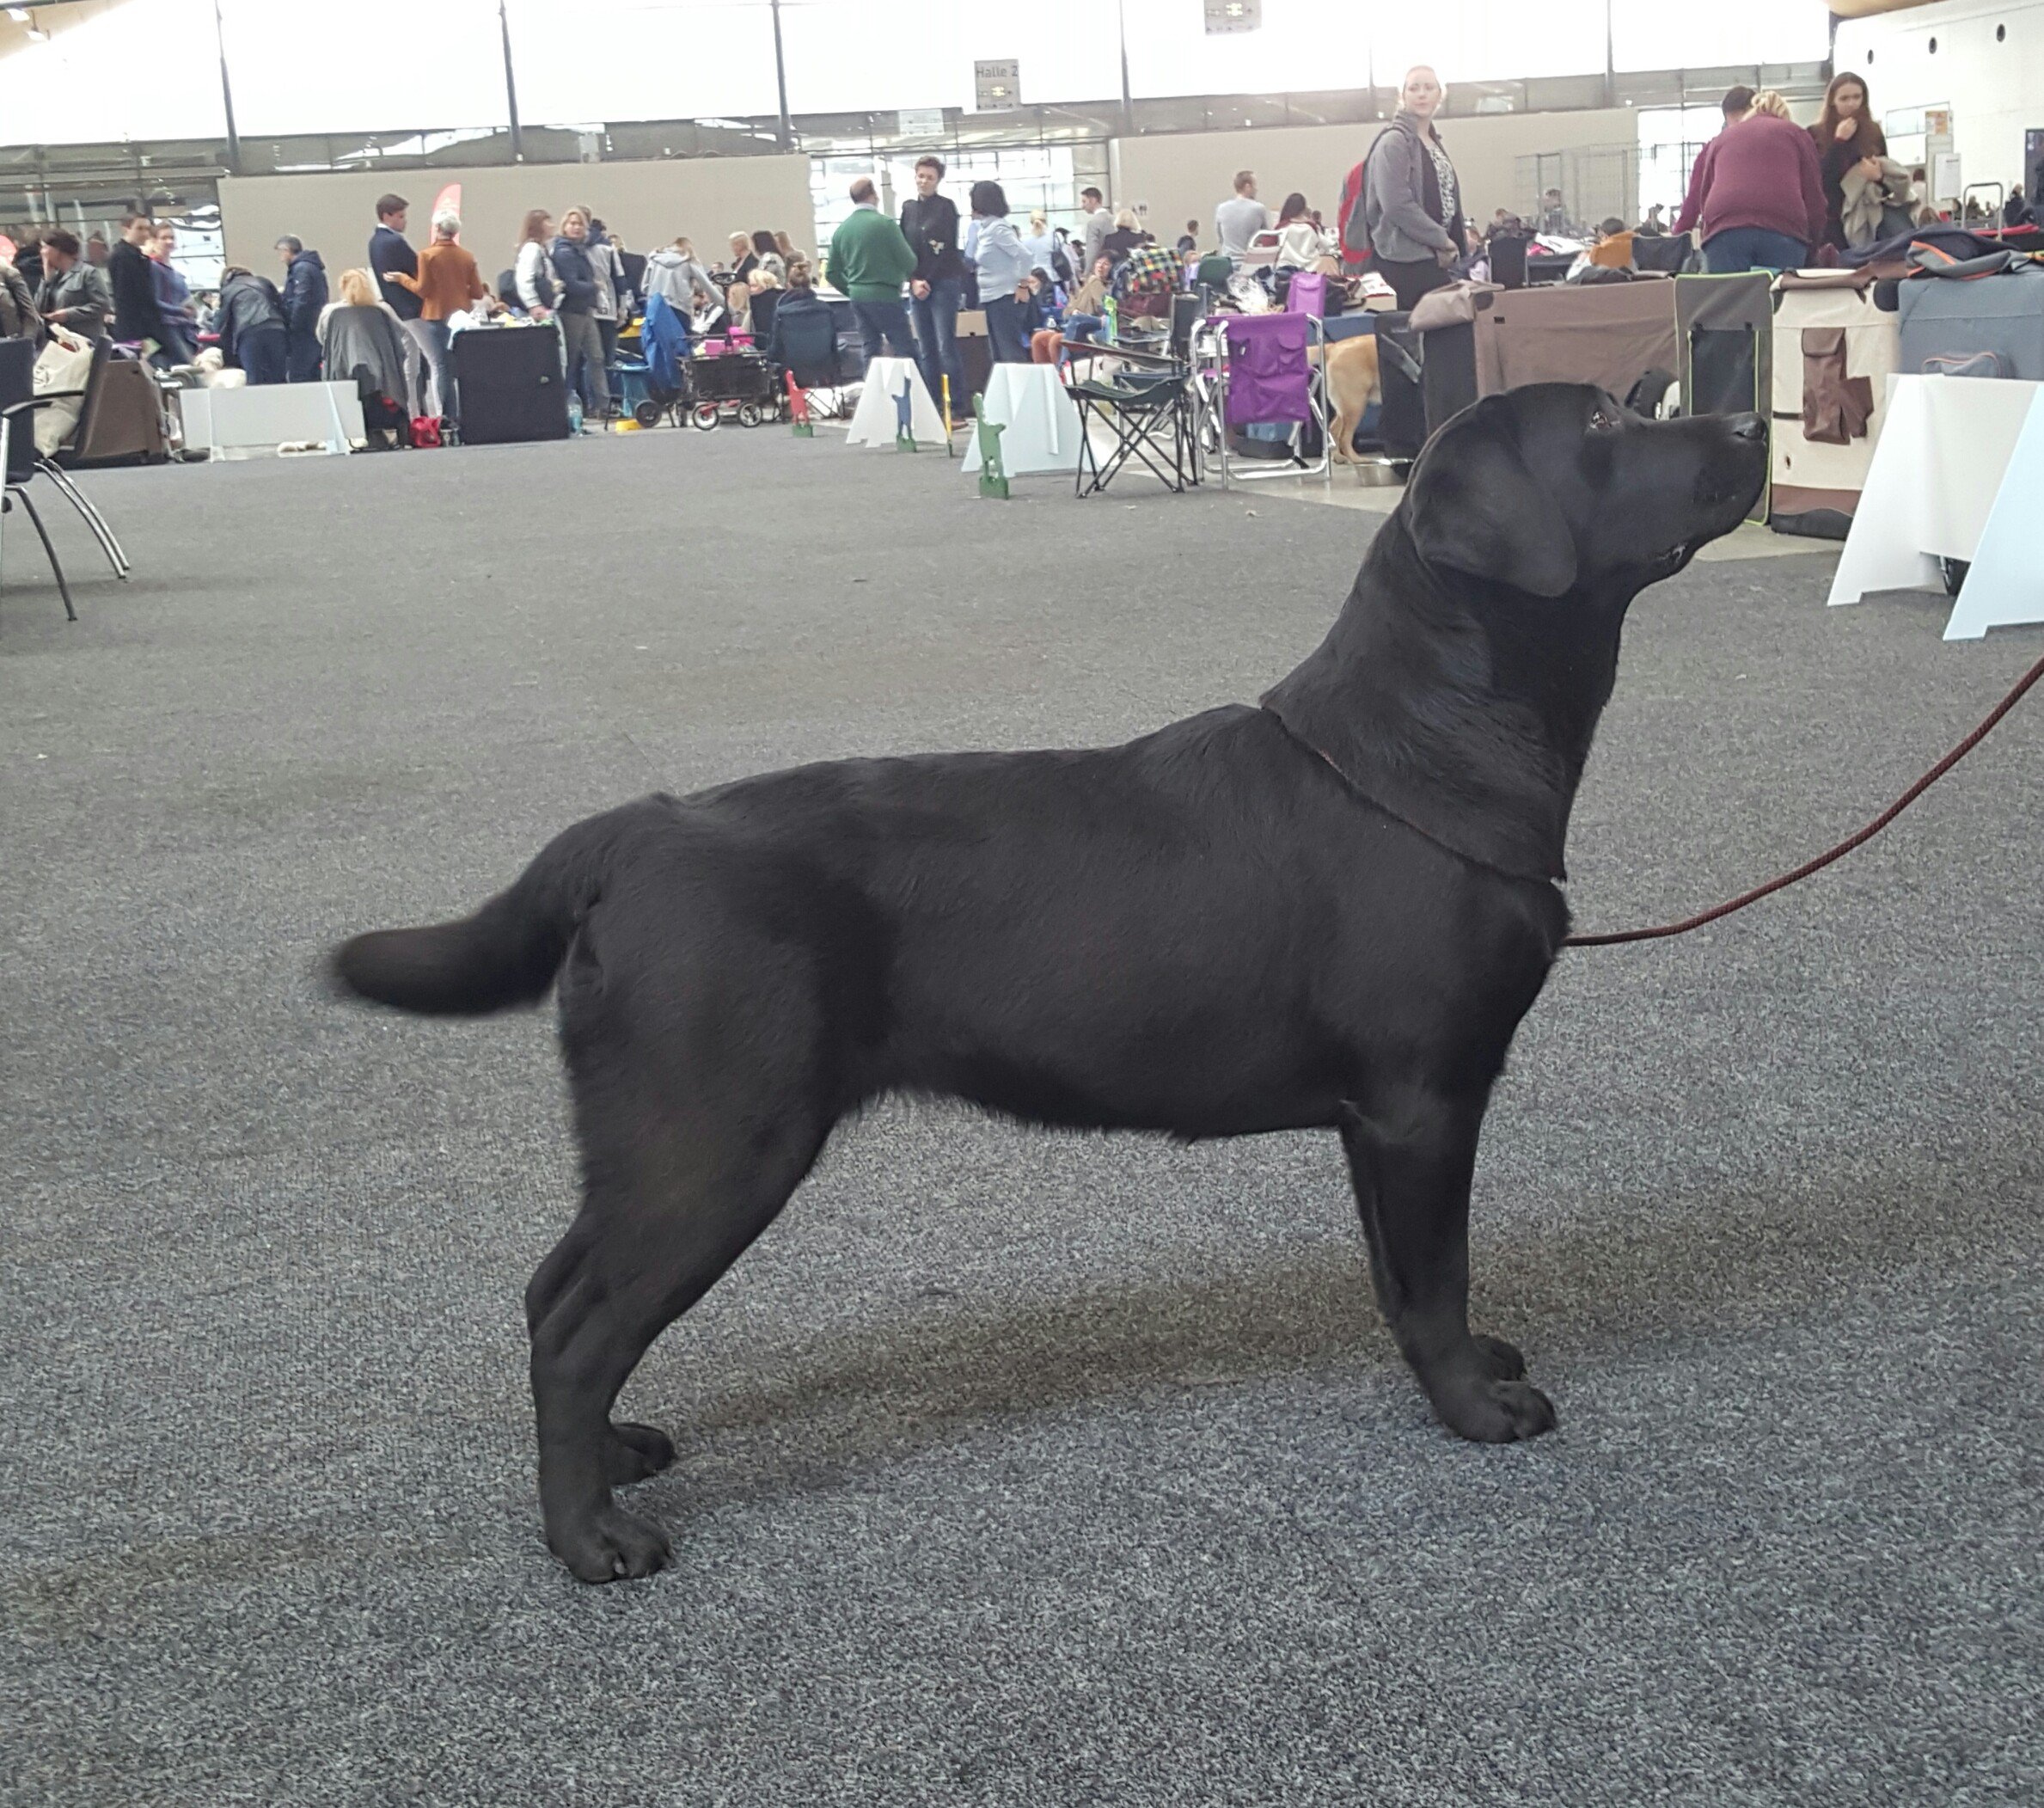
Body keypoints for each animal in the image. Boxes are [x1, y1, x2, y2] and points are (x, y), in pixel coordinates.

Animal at [334, 384, 1774, 1578]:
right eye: (1600, 426)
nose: (1753, 418)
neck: (1424, 747)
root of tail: (625, 836)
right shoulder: (1423, 1098)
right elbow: (1434, 1275)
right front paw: (1476, 1407)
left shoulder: (1376, 1118)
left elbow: (1399, 1273)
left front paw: (1468, 1370)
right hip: (715, 1136)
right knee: (578, 1329)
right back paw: (590, 1537)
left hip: (650, 1134)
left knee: (552, 1291)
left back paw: (617, 1450)